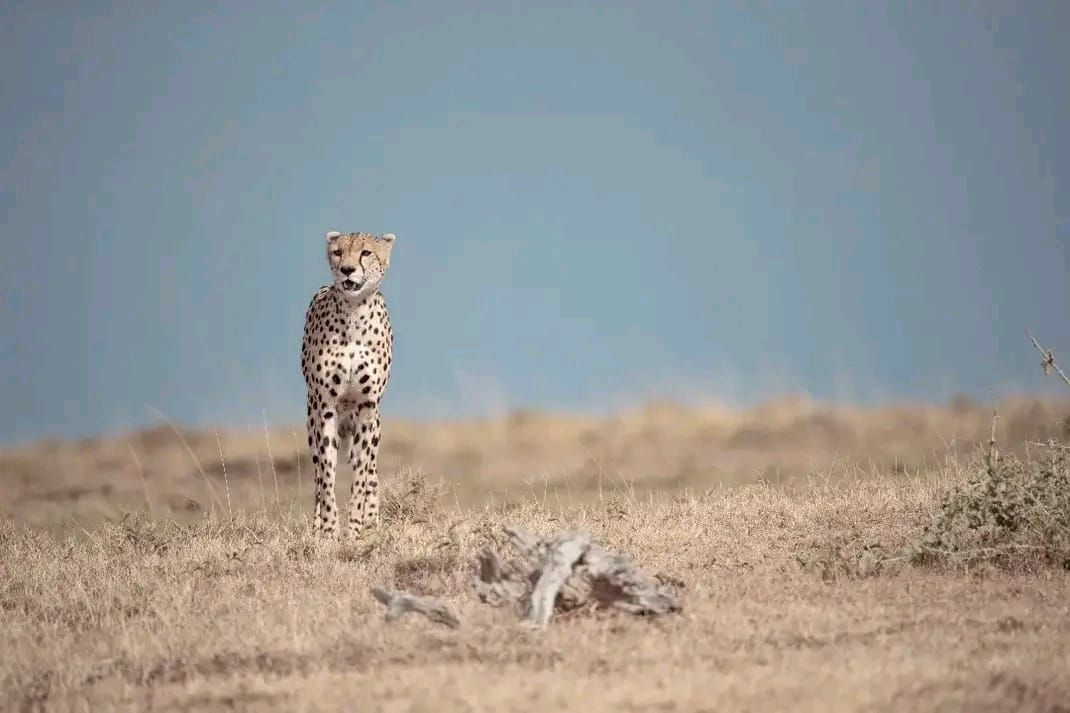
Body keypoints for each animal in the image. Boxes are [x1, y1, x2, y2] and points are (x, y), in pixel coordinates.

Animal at [300, 230, 396, 538]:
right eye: (338, 252)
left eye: (366, 253)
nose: (347, 270)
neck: (353, 315)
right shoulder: (326, 406)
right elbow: (327, 476)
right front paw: (330, 531)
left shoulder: (367, 406)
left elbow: (362, 476)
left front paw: (355, 528)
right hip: (311, 419)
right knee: (317, 477)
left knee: (371, 471)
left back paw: (371, 523)